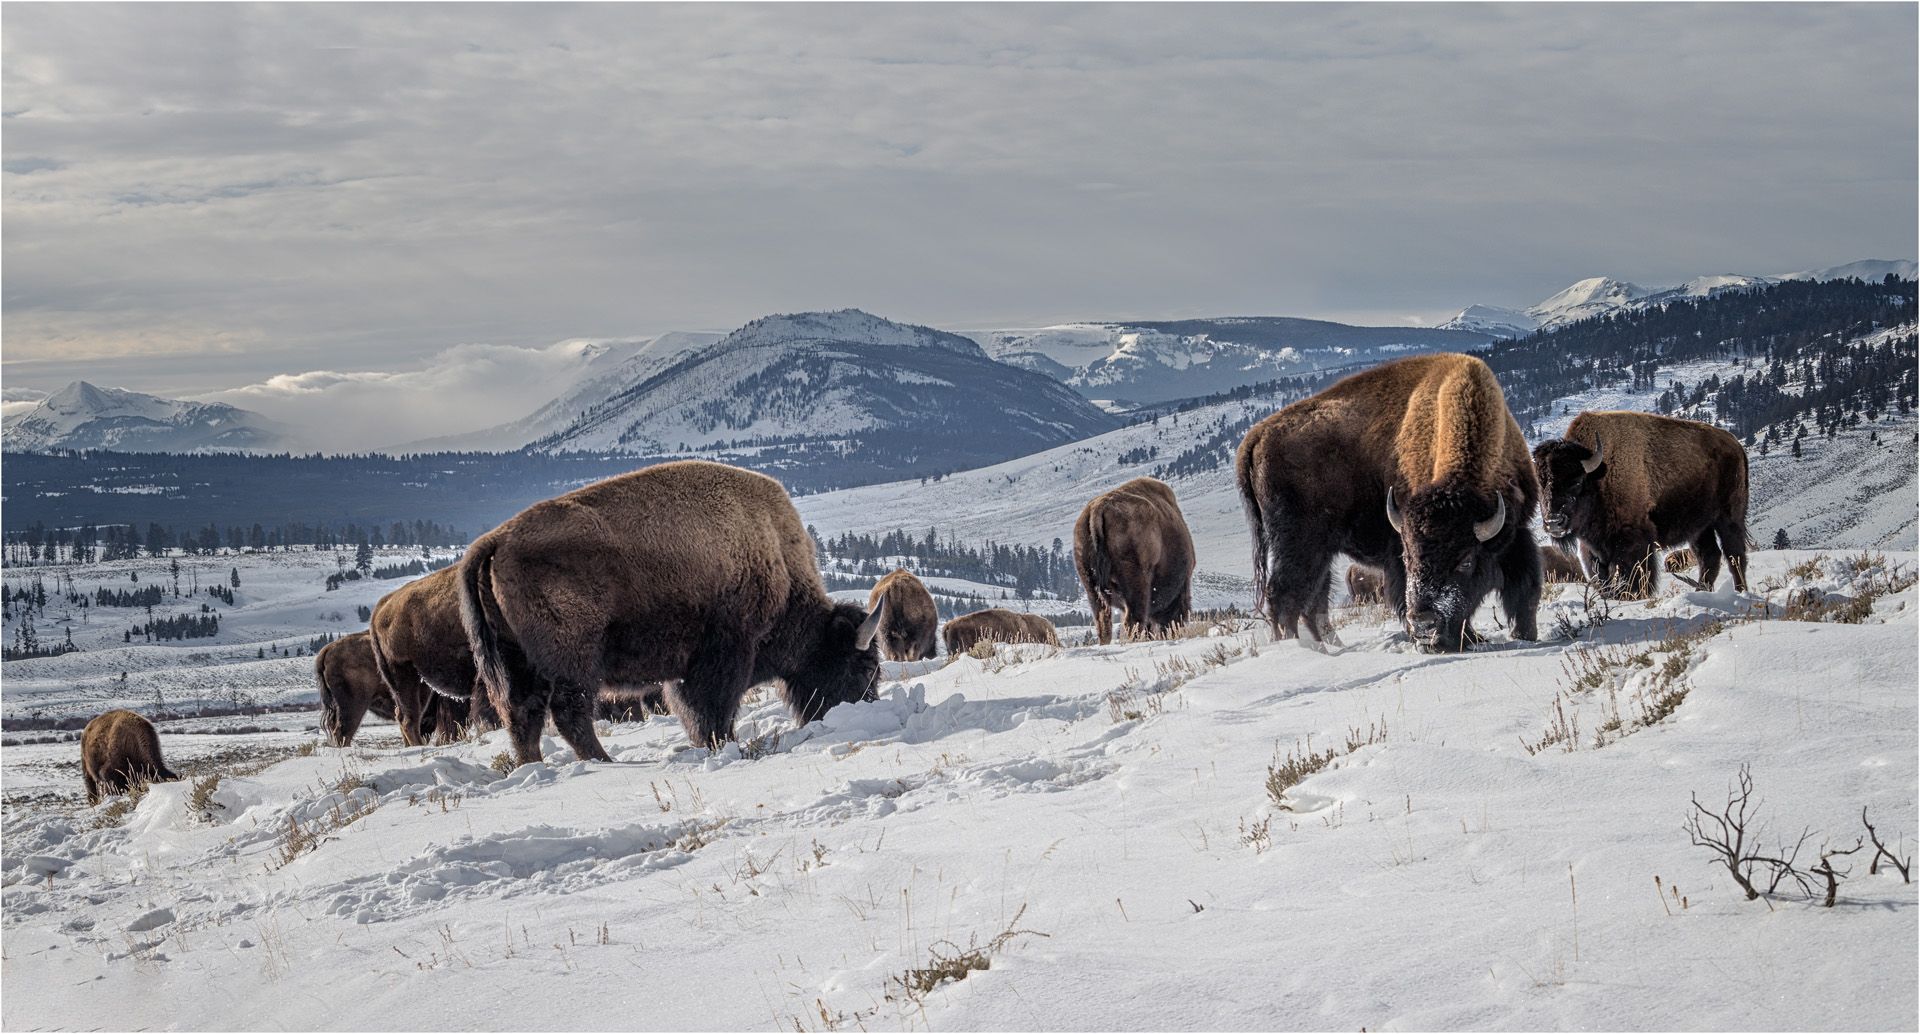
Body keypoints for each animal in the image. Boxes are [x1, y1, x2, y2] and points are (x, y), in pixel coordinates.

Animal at [369, 566, 497, 746]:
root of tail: (380, 609)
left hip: (422, 685)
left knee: (409, 715)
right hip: (402, 676)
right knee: (408, 718)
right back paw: (417, 746)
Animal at [459, 460, 886, 764]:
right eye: (863, 667)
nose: (866, 711)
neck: (774, 555)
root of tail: (496, 539)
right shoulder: (726, 654)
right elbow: (713, 708)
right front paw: (723, 745)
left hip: (516, 659)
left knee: (523, 714)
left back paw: (535, 766)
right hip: (575, 659)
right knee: (569, 712)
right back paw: (604, 762)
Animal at [1236, 353, 1542, 651]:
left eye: (1466, 562)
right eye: (1407, 558)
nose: (1424, 624)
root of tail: (1256, 436)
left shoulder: (1516, 531)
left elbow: (1526, 589)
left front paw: (1524, 635)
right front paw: (1467, 640)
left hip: (1321, 552)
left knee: (1312, 603)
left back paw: (1334, 649)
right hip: (1301, 545)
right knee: (1285, 598)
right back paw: (1297, 649)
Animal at [1532, 411, 1749, 598]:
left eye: (1576, 481)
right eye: (1540, 485)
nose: (1554, 522)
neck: (1599, 477)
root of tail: (1736, 445)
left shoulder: (1631, 540)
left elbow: (1630, 574)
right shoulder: (1593, 549)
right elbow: (1603, 577)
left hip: (1729, 516)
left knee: (1734, 555)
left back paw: (1741, 591)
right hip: (1699, 527)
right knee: (1709, 556)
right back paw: (1702, 592)